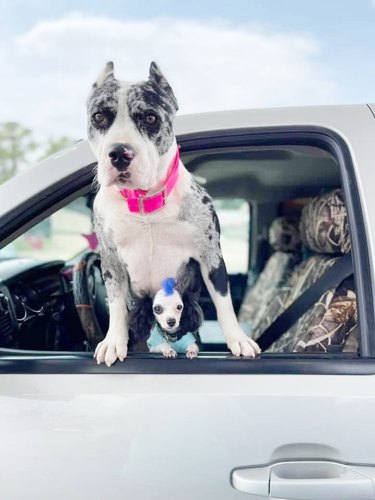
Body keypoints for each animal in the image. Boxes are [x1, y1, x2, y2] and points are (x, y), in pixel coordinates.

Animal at [87, 61, 262, 368]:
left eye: (150, 118)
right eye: (98, 116)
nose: (120, 153)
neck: (145, 203)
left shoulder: (210, 256)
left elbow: (224, 301)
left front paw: (238, 339)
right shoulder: (110, 259)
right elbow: (117, 302)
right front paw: (113, 342)